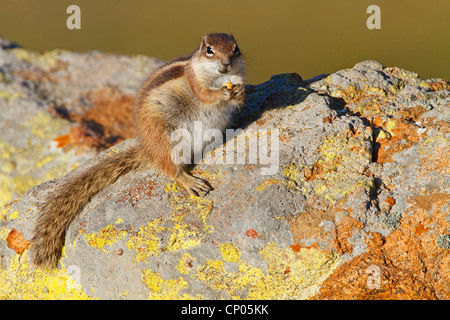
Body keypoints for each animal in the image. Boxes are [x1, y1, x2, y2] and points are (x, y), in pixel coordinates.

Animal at [31, 33, 246, 268]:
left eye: (235, 49)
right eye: (209, 50)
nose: (226, 64)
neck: (219, 77)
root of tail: (148, 149)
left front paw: (239, 91)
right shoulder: (195, 82)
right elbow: (206, 95)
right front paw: (222, 93)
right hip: (167, 140)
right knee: (172, 169)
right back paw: (191, 182)